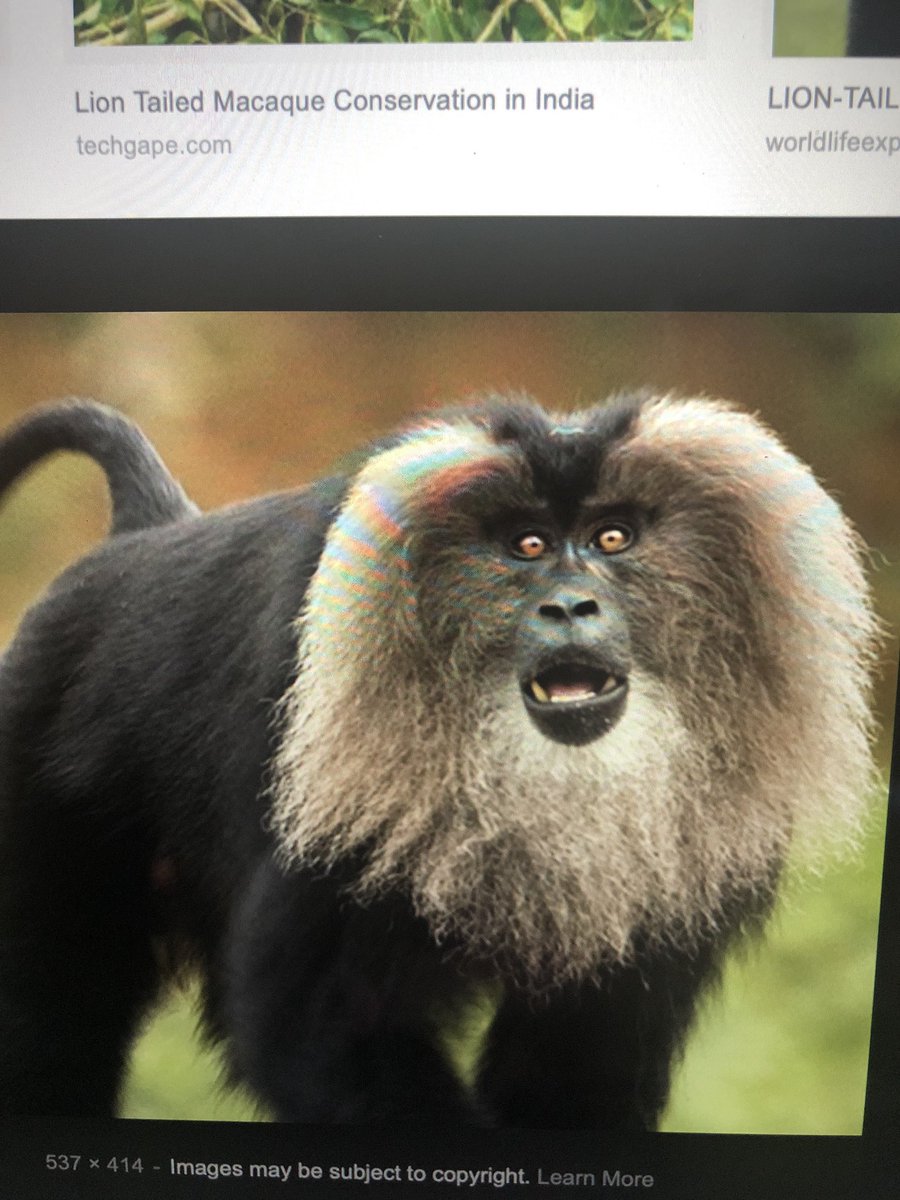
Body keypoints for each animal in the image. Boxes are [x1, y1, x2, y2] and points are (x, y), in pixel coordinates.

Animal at [0, 395, 879, 1128]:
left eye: (613, 538)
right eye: (526, 545)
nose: (570, 606)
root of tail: (137, 538)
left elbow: (580, 1065)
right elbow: (313, 1027)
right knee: (56, 1016)